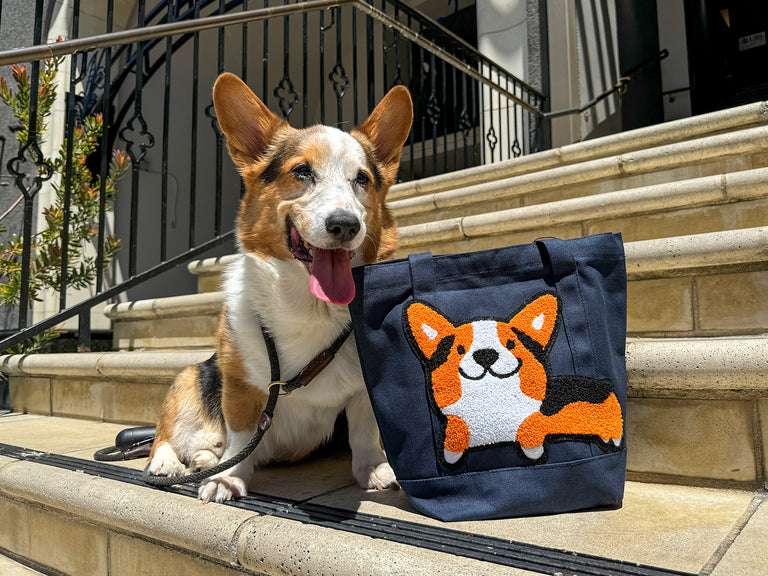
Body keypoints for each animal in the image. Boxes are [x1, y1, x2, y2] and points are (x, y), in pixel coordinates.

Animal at [142, 74, 408, 502]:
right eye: (301, 172)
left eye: (362, 179)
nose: (345, 225)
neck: (309, 307)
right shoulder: (239, 385)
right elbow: (239, 436)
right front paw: (226, 479)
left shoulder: (364, 393)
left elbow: (366, 434)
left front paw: (374, 470)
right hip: (188, 379)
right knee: (166, 438)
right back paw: (170, 464)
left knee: (209, 447)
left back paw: (202, 459)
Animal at [402, 294, 624, 466]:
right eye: (459, 349)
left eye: (510, 344)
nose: (485, 354)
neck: (492, 397)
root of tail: (603, 384)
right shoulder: (457, 423)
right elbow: (454, 439)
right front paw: (451, 455)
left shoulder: (531, 422)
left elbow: (530, 436)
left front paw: (533, 453)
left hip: (610, 417)